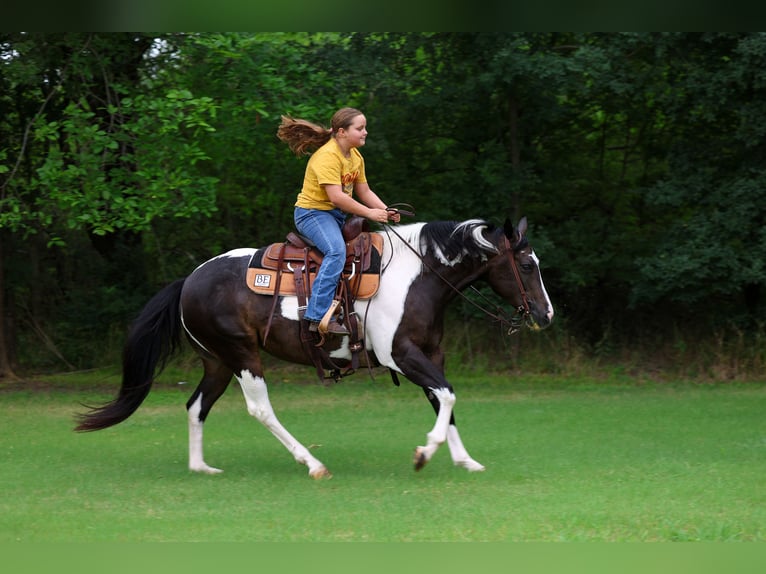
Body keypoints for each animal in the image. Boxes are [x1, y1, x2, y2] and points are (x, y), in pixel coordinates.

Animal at [75, 216, 553, 478]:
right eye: (526, 264)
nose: (546, 314)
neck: (418, 278)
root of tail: (188, 280)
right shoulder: (402, 356)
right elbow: (448, 396)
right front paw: (424, 454)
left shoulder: (430, 356)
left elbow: (444, 401)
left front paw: (465, 461)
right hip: (242, 356)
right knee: (260, 409)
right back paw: (312, 463)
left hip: (217, 361)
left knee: (196, 406)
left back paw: (200, 467)